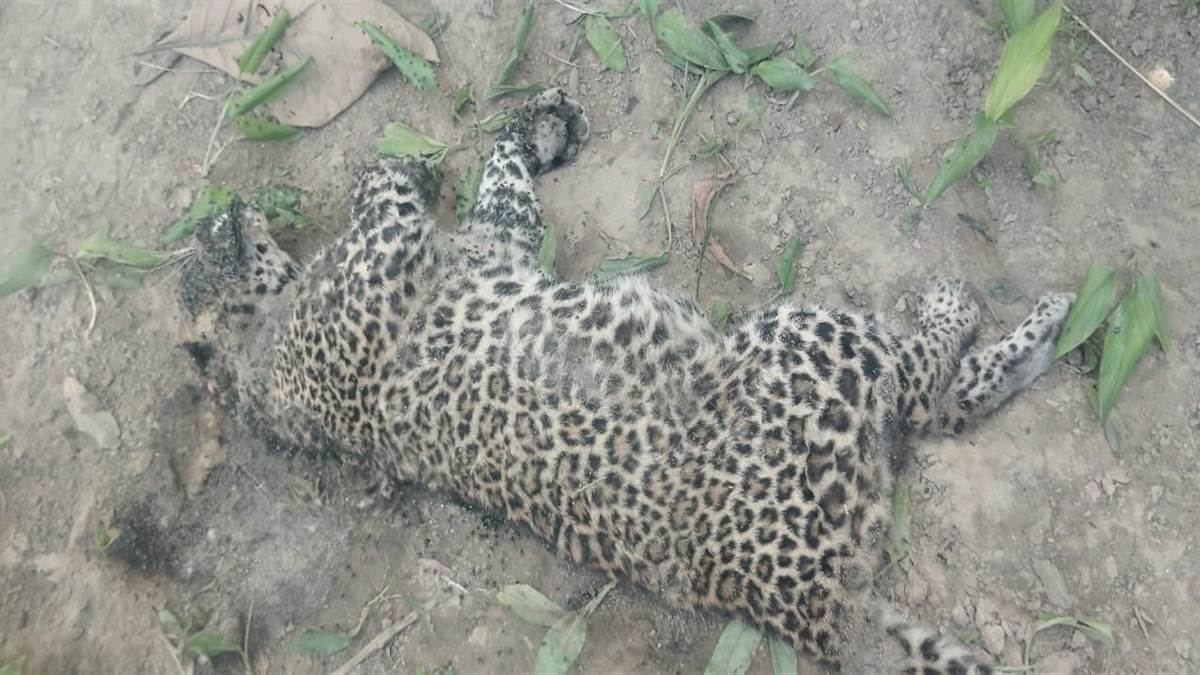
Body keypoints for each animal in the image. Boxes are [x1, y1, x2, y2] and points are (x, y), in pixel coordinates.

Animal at [177, 88, 1074, 673]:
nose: (219, 209)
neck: (259, 348)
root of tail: (818, 608)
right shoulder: (391, 249)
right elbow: (383, 179)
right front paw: (417, 164)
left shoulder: (492, 241)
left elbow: (499, 183)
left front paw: (539, 127)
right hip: (804, 345)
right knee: (930, 384)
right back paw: (996, 309)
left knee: (945, 399)